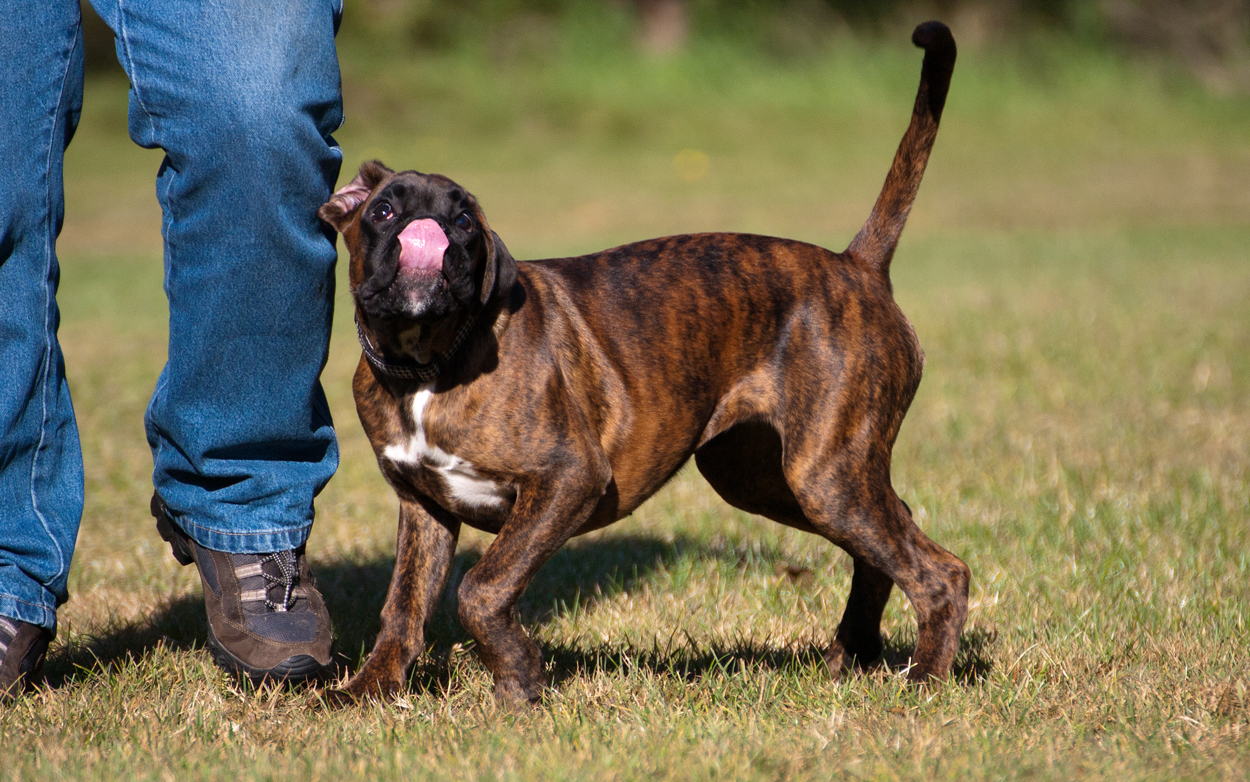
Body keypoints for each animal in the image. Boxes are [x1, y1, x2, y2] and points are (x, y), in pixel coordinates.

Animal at [320, 21, 965, 704]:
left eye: (466, 219)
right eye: (383, 210)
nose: (432, 222)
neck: (428, 362)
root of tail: (857, 266)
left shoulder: (567, 478)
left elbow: (482, 587)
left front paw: (519, 679)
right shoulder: (425, 509)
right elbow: (405, 607)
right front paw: (369, 689)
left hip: (827, 478)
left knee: (941, 570)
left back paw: (926, 678)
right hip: (769, 477)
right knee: (893, 532)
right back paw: (854, 652)